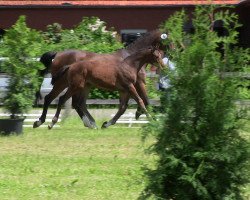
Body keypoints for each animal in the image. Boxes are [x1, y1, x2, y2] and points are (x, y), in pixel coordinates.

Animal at [33, 30, 166, 129]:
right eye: (157, 55)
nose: (164, 66)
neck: (129, 64)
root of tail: (70, 65)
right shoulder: (132, 85)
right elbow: (142, 101)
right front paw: (151, 119)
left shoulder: (124, 89)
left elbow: (123, 107)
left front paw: (106, 124)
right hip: (74, 85)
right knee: (61, 99)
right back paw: (50, 122)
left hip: (78, 85)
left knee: (67, 101)